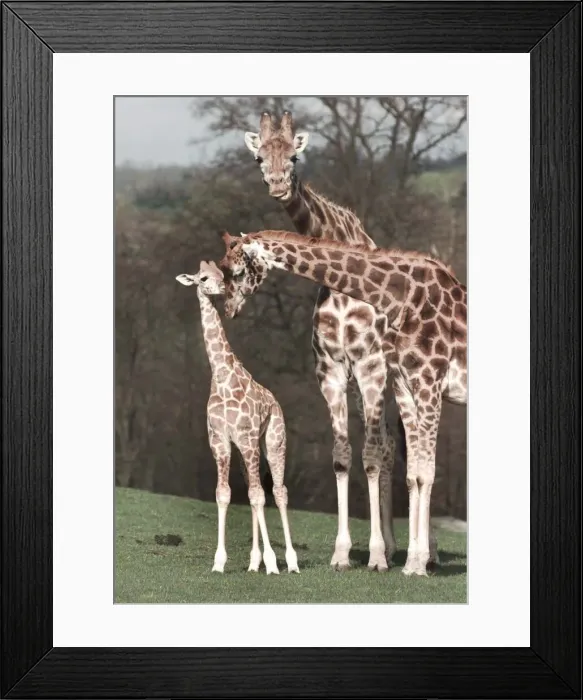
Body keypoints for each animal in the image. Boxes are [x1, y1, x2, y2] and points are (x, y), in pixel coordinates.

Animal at [176, 260, 299, 575]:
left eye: (223, 275)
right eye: (203, 278)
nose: (222, 288)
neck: (222, 377)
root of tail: (276, 402)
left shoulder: (246, 437)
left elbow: (258, 496)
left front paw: (273, 563)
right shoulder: (220, 441)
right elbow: (225, 493)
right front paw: (219, 563)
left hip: (273, 441)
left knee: (278, 491)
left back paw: (290, 562)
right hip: (247, 452)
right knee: (256, 490)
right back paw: (254, 563)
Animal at [220, 231, 467, 577]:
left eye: (238, 271)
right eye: (222, 267)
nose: (229, 307)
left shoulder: (414, 379)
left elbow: (410, 467)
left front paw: (394, 560)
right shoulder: (377, 381)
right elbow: (379, 465)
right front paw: (349, 556)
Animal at [240, 110, 399, 572]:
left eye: (294, 156)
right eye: (259, 157)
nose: (277, 186)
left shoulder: (369, 365)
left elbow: (370, 455)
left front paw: (375, 556)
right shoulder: (330, 369)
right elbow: (343, 455)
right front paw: (343, 553)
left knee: (397, 448)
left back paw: (421, 551)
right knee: (390, 446)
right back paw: (397, 546)